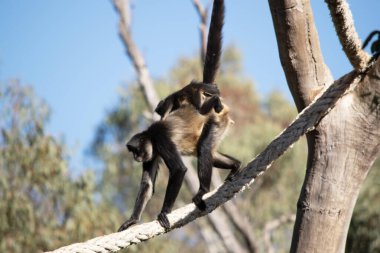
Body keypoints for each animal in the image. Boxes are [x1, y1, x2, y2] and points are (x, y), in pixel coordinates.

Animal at [118, 0, 240, 231]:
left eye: (135, 151)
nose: (136, 158)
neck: (150, 135)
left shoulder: (161, 139)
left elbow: (179, 170)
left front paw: (164, 211)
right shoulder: (153, 151)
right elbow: (147, 184)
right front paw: (132, 220)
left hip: (216, 120)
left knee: (204, 149)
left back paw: (202, 191)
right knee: (206, 150)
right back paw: (236, 165)